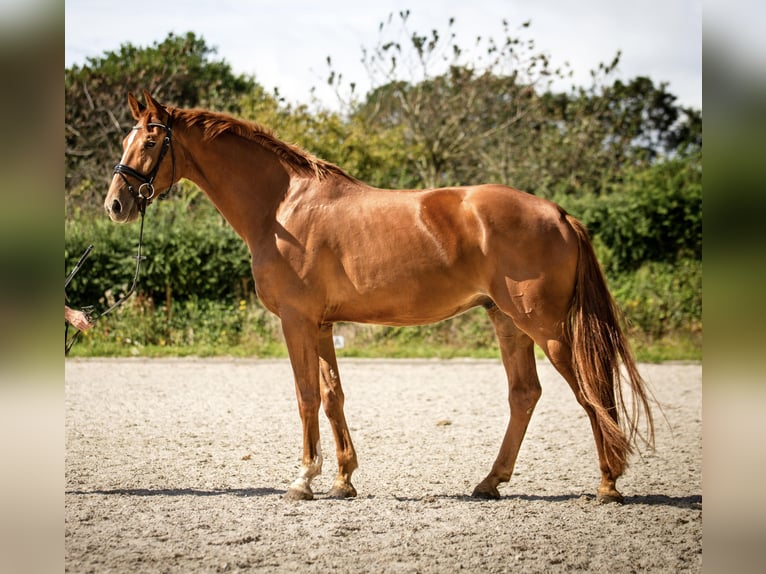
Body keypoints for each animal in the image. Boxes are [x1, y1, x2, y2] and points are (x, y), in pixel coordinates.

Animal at [103, 91, 656, 504]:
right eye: (126, 139)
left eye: (149, 140)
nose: (115, 204)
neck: (282, 207)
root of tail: (559, 214)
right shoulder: (323, 324)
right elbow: (332, 396)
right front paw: (343, 479)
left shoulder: (296, 321)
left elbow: (306, 396)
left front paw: (302, 480)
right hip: (506, 321)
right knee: (525, 395)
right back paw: (489, 482)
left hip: (545, 326)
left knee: (591, 389)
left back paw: (607, 485)